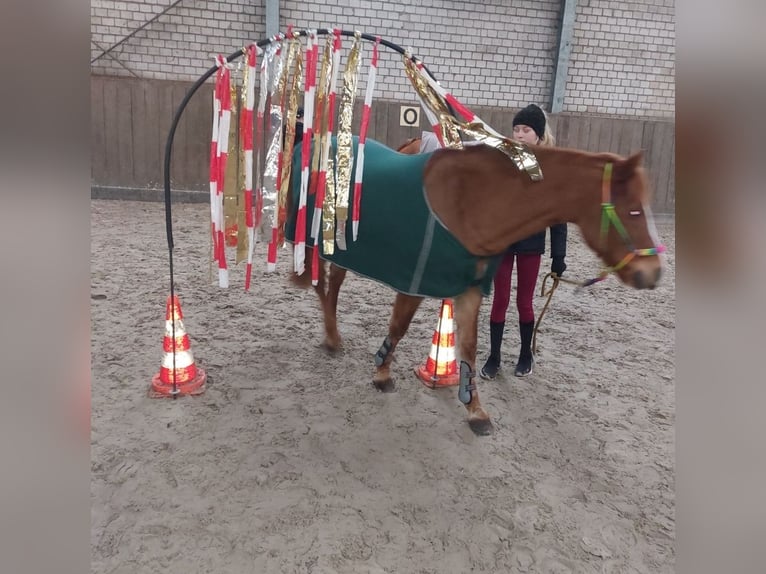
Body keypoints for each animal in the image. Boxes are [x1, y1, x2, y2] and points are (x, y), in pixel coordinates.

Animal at [292, 140, 664, 436]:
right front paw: (382, 374)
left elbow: (469, 347)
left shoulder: (470, 289)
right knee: (323, 286)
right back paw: (331, 338)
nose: (654, 274)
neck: (472, 200)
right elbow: (398, 326)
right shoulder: (415, 280)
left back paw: (333, 336)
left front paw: (475, 411)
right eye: (633, 211)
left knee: (332, 285)